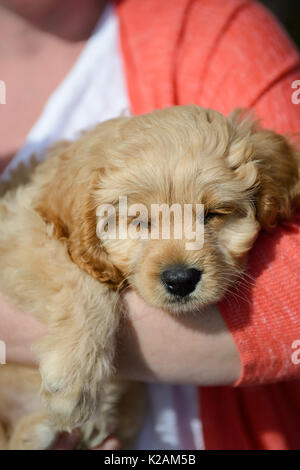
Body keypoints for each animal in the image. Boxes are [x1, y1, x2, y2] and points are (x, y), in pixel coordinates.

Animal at [0, 104, 300, 450]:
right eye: (141, 221)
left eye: (213, 214)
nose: (181, 279)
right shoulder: (21, 230)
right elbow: (79, 282)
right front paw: (75, 375)